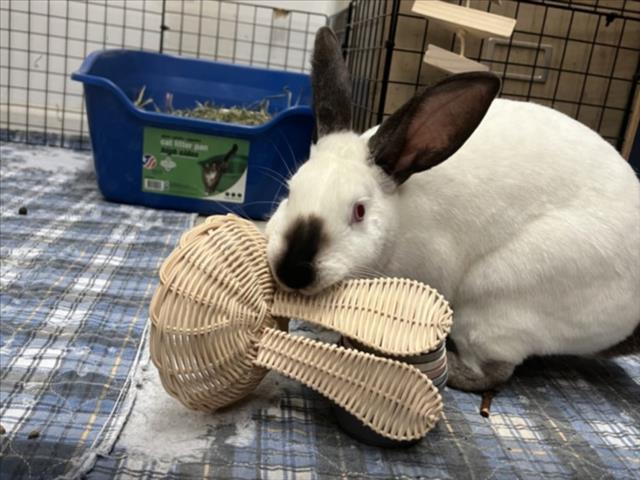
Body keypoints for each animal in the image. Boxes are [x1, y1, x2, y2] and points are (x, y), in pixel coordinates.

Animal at [265, 27, 640, 392]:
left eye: (359, 211)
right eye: (290, 190)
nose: (293, 270)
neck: (399, 219)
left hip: (495, 302)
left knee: (493, 372)